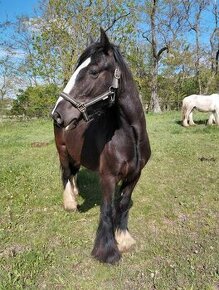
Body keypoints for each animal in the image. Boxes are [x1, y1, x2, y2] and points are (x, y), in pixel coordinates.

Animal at [51, 28, 151, 264]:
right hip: (62, 150)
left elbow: (122, 205)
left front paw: (123, 239)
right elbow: (106, 209)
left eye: (94, 71)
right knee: (66, 173)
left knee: (73, 173)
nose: (57, 114)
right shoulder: (108, 176)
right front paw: (106, 251)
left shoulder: (135, 175)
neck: (130, 137)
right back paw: (70, 203)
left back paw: (76, 193)